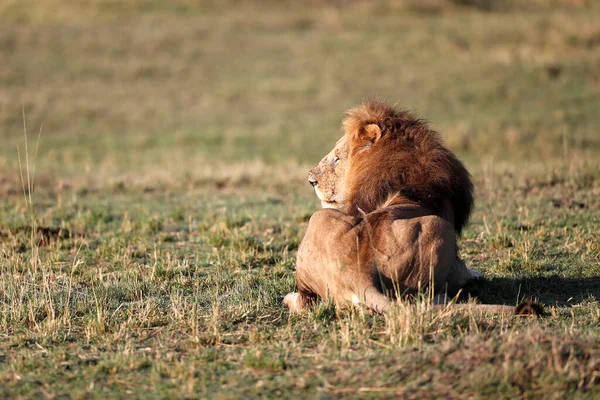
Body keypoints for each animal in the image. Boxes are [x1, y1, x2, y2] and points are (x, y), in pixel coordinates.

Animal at [284, 101, 540, 316]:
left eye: (337, 158)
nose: (310, 180)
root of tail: (358, 273)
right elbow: (467, 270)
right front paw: (475, 274)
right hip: (438, 228)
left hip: (319, 218)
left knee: (304, 301)